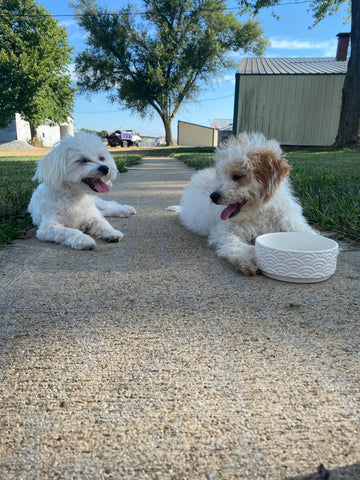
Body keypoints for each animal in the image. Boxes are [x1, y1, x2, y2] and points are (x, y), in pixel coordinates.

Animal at [170, 133, 314, 276]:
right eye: (220, 176)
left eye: (237, 176)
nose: (213, 196)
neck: (259, 212)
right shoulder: (224, 231)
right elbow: (236, 244)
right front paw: (249, 259)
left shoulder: (293, 224)